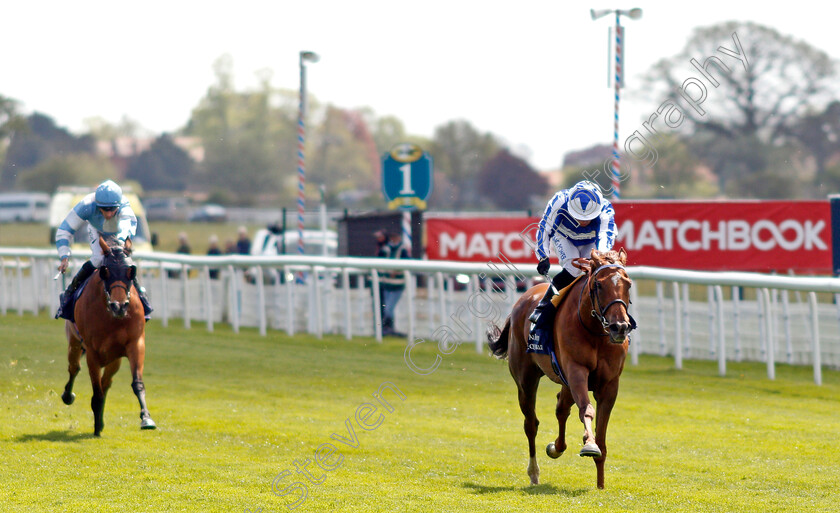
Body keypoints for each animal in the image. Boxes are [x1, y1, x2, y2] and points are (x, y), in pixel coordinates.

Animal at [61, 236, 157, 436]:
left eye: (131, 271)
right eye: (105, 271)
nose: (119, 305)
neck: (112, 317)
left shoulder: (135, 344)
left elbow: (137, 383)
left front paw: (146, 418)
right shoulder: (92, 352)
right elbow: (96, 390)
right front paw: (97, 426)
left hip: (114, 359)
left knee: (106, 382)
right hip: (74, 342)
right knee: (74, 368)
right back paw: (68, 395)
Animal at [488, 248, 632, 488]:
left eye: (628, 284)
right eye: (599, 285)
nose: (619, 327)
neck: (595, 331)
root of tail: (524, 297)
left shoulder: (610, 384)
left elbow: (601, 436)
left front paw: (600, 484)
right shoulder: (576, 371)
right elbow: (586, 409)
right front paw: (589, 444)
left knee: (561, 407)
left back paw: (556, 447)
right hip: (526, 379)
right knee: (531, 423)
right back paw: (534, 472)